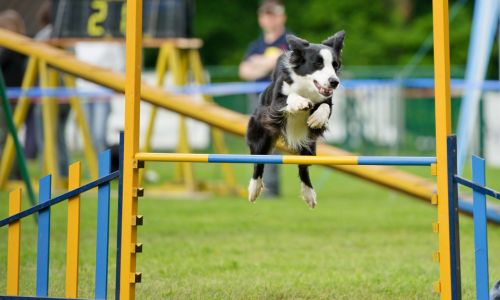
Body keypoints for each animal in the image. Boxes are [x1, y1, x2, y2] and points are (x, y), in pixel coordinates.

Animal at [245, 31, 344, 209]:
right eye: (318, 63)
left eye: (335, 65)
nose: (334, 82)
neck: (306, 87)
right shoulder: (276, 103)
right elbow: (290, 97)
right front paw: (301, 103)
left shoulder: (328, 100)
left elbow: (325, 107)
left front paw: (316, 119)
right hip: (259, 134)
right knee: (258, 161)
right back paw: (254, 190)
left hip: (309, 146)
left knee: (303, 167)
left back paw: (309, 194)